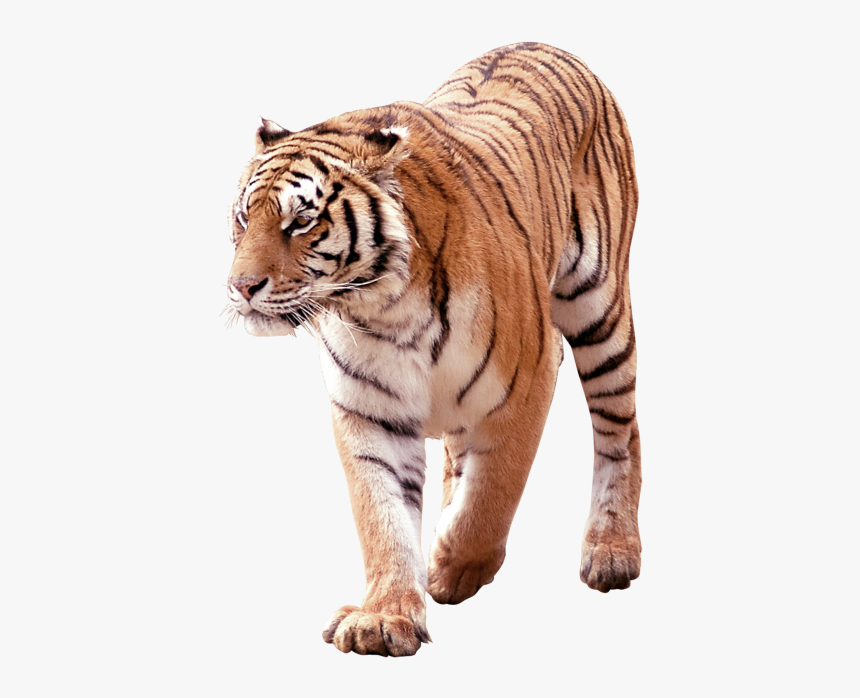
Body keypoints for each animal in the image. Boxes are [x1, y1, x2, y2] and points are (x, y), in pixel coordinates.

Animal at [225, 42, 641, 657]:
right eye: (242, 217)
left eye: (301, 221)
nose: (240, 286)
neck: (382, 307)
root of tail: (545, 43)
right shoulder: (370, 413)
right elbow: (383, 519)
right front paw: (384, 617)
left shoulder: (527, 382)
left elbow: (492, 495)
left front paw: (452, 566)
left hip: (600, 310)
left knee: (620, 431)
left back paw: (612, 551)